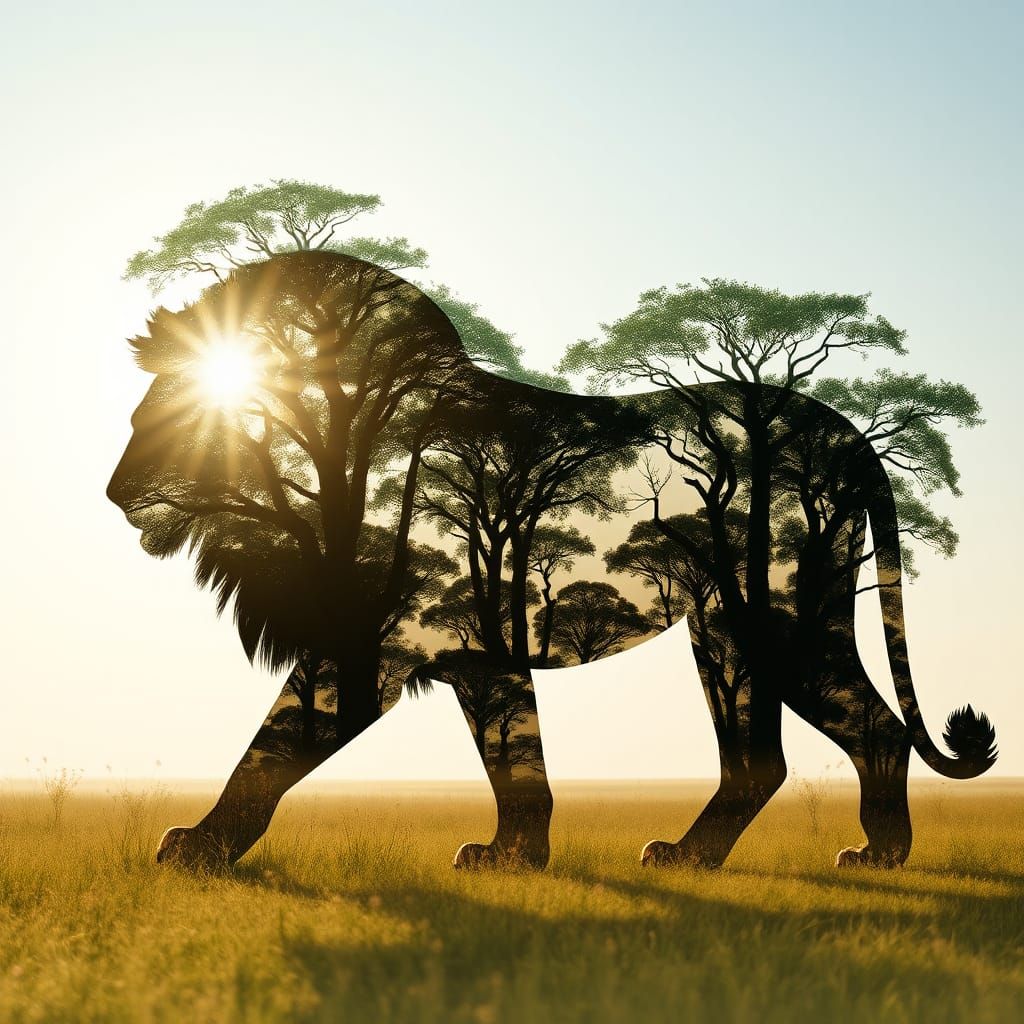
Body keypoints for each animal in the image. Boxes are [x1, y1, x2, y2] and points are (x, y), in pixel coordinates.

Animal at [107, 251, 996, 873]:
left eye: (166, 408)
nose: (115, 492)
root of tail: (848, 435)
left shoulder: (373, 648)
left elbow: (269, 753)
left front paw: (198, 848)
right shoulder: (476, 647)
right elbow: (517, 766)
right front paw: (514, 858)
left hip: (779, 617)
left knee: (873, 728)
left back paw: (876, 856)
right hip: (727, 629)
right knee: (760, 761)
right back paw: (691, 858)